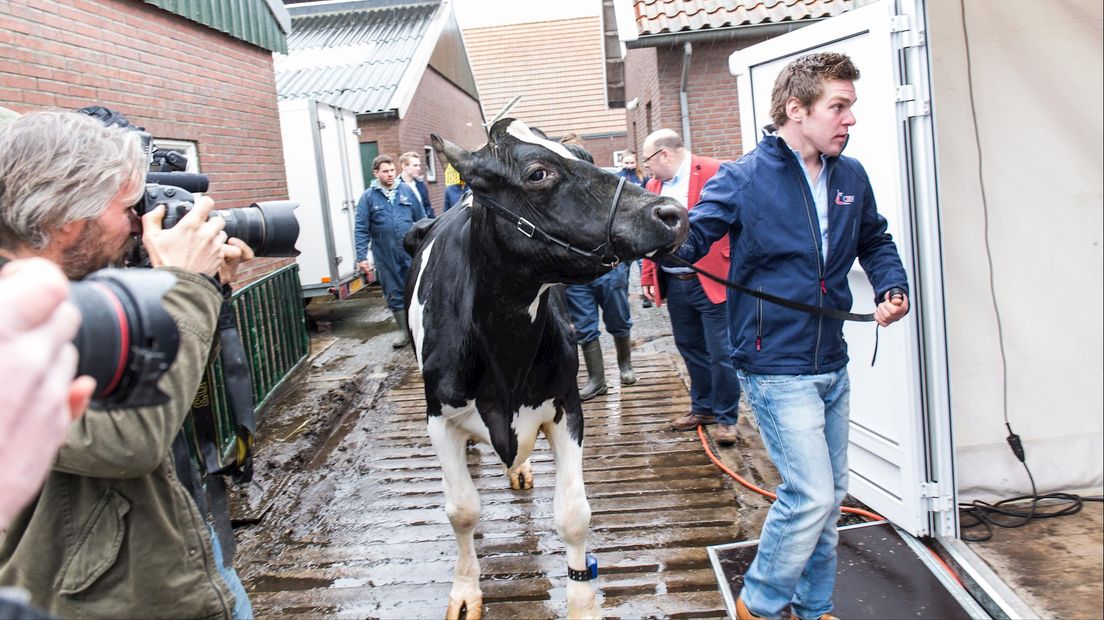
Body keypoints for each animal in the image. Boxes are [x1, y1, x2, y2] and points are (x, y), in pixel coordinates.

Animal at [401, 118, 684, 613]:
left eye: (586, 156)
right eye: (537, 173)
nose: (671, 212)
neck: (504, 360)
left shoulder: (565, 405)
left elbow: (573, 515)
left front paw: (583, 605)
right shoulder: (439, 417)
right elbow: (462, 511)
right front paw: (465, 590)